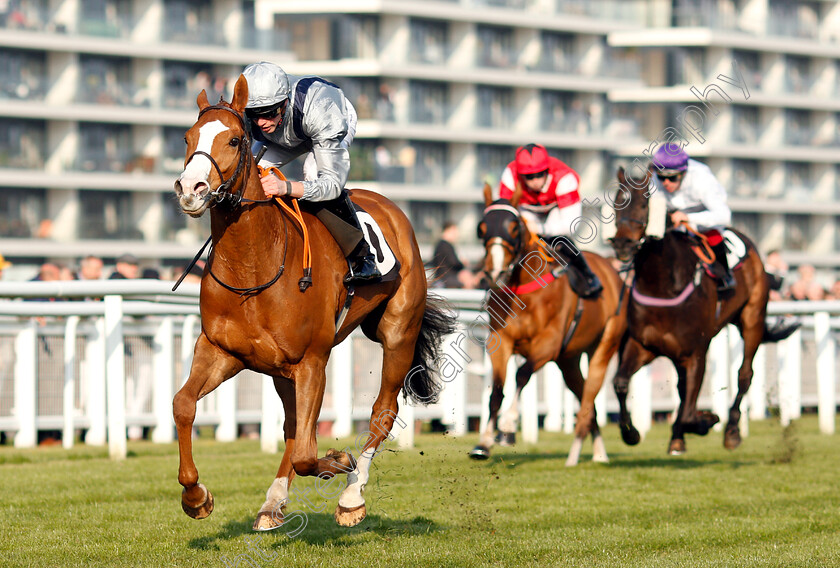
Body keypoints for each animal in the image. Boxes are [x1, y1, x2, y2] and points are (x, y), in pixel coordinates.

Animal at [171, 73, 456, 532]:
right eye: (187, 137)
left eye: (234, 139)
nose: (191, 189)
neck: (255, 265)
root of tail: (392, 208)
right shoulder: (222, 351)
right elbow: (183, 405)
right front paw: (196, 496)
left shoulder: (312, 361)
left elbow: (309, 452)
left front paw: (340, 462)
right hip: (279, 370)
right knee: (292, 427)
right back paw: (273, 503)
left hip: (398, 333)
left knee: (382, 411)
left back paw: (352, 495)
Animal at [470, 184, 628, 464]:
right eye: (482, 227)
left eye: (514, 227)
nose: (494, 272)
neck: (523, 291)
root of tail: (612, 271)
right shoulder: (500, 341)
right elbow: (497, 390)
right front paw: (484, 443)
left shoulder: (548, 343)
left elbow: (522, 375)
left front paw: (508, 427)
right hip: (569, 361)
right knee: (587, 402)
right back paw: (596, 452)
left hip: (603, 348)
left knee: (589, 397)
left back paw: (588, 455)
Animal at [608, 166, 796, 454]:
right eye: (617, 202)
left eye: (643, 204)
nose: (622, 244)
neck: (662, 286)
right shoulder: (644, 344)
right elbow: (620, 383)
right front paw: (632, 433)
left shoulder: (697, 351)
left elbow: (688, 413)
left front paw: (708, 420)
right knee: (682, 388)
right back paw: (678, 438)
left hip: (752, 319)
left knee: (744, 376)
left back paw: (731, 431)